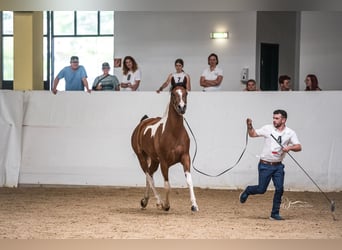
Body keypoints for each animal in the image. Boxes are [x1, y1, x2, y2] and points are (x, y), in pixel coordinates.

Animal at [132, 83, 200, 211]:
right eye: (173, 93)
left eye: (186, 93)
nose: (181, 107)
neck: (174, 133)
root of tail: (143, 123)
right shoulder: (164, 162)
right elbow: (167, 185)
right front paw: (166, 205)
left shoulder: (185, 157)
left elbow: (189, 181)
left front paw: (194, 205)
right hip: (141, 158)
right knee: (149, 176)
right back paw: (159, 202)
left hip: (154, 160)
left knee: (150, 175)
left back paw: (145, 200)